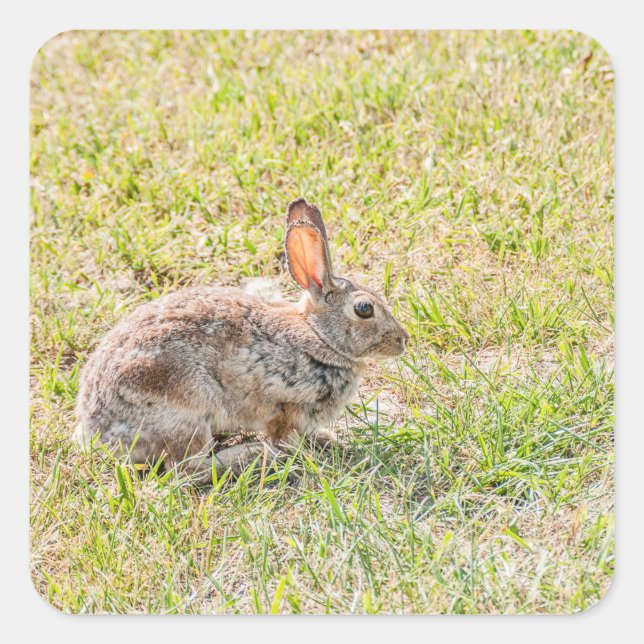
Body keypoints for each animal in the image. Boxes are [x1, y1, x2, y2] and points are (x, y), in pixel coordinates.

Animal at [74, 198, 409, 484]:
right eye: (364, 309)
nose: (403, 340)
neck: (319, 336)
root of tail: (97, 431)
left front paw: (328, 439)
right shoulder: (285, 405)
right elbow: (285, 436)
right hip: (185, 409)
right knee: (185, 469)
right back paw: (252, 456)